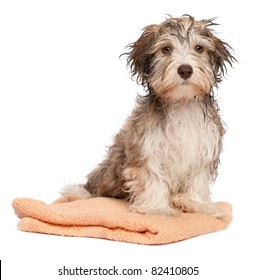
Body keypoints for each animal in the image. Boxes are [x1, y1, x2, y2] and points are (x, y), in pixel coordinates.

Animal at [63, 14, 235, 219]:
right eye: (166, 49)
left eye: (199, 48)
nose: (185, 70)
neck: (181, 103)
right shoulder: (147, 149)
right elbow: (152, 178)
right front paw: (157, 209)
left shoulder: (204, 148)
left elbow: (198, 180)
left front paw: (198, 205)